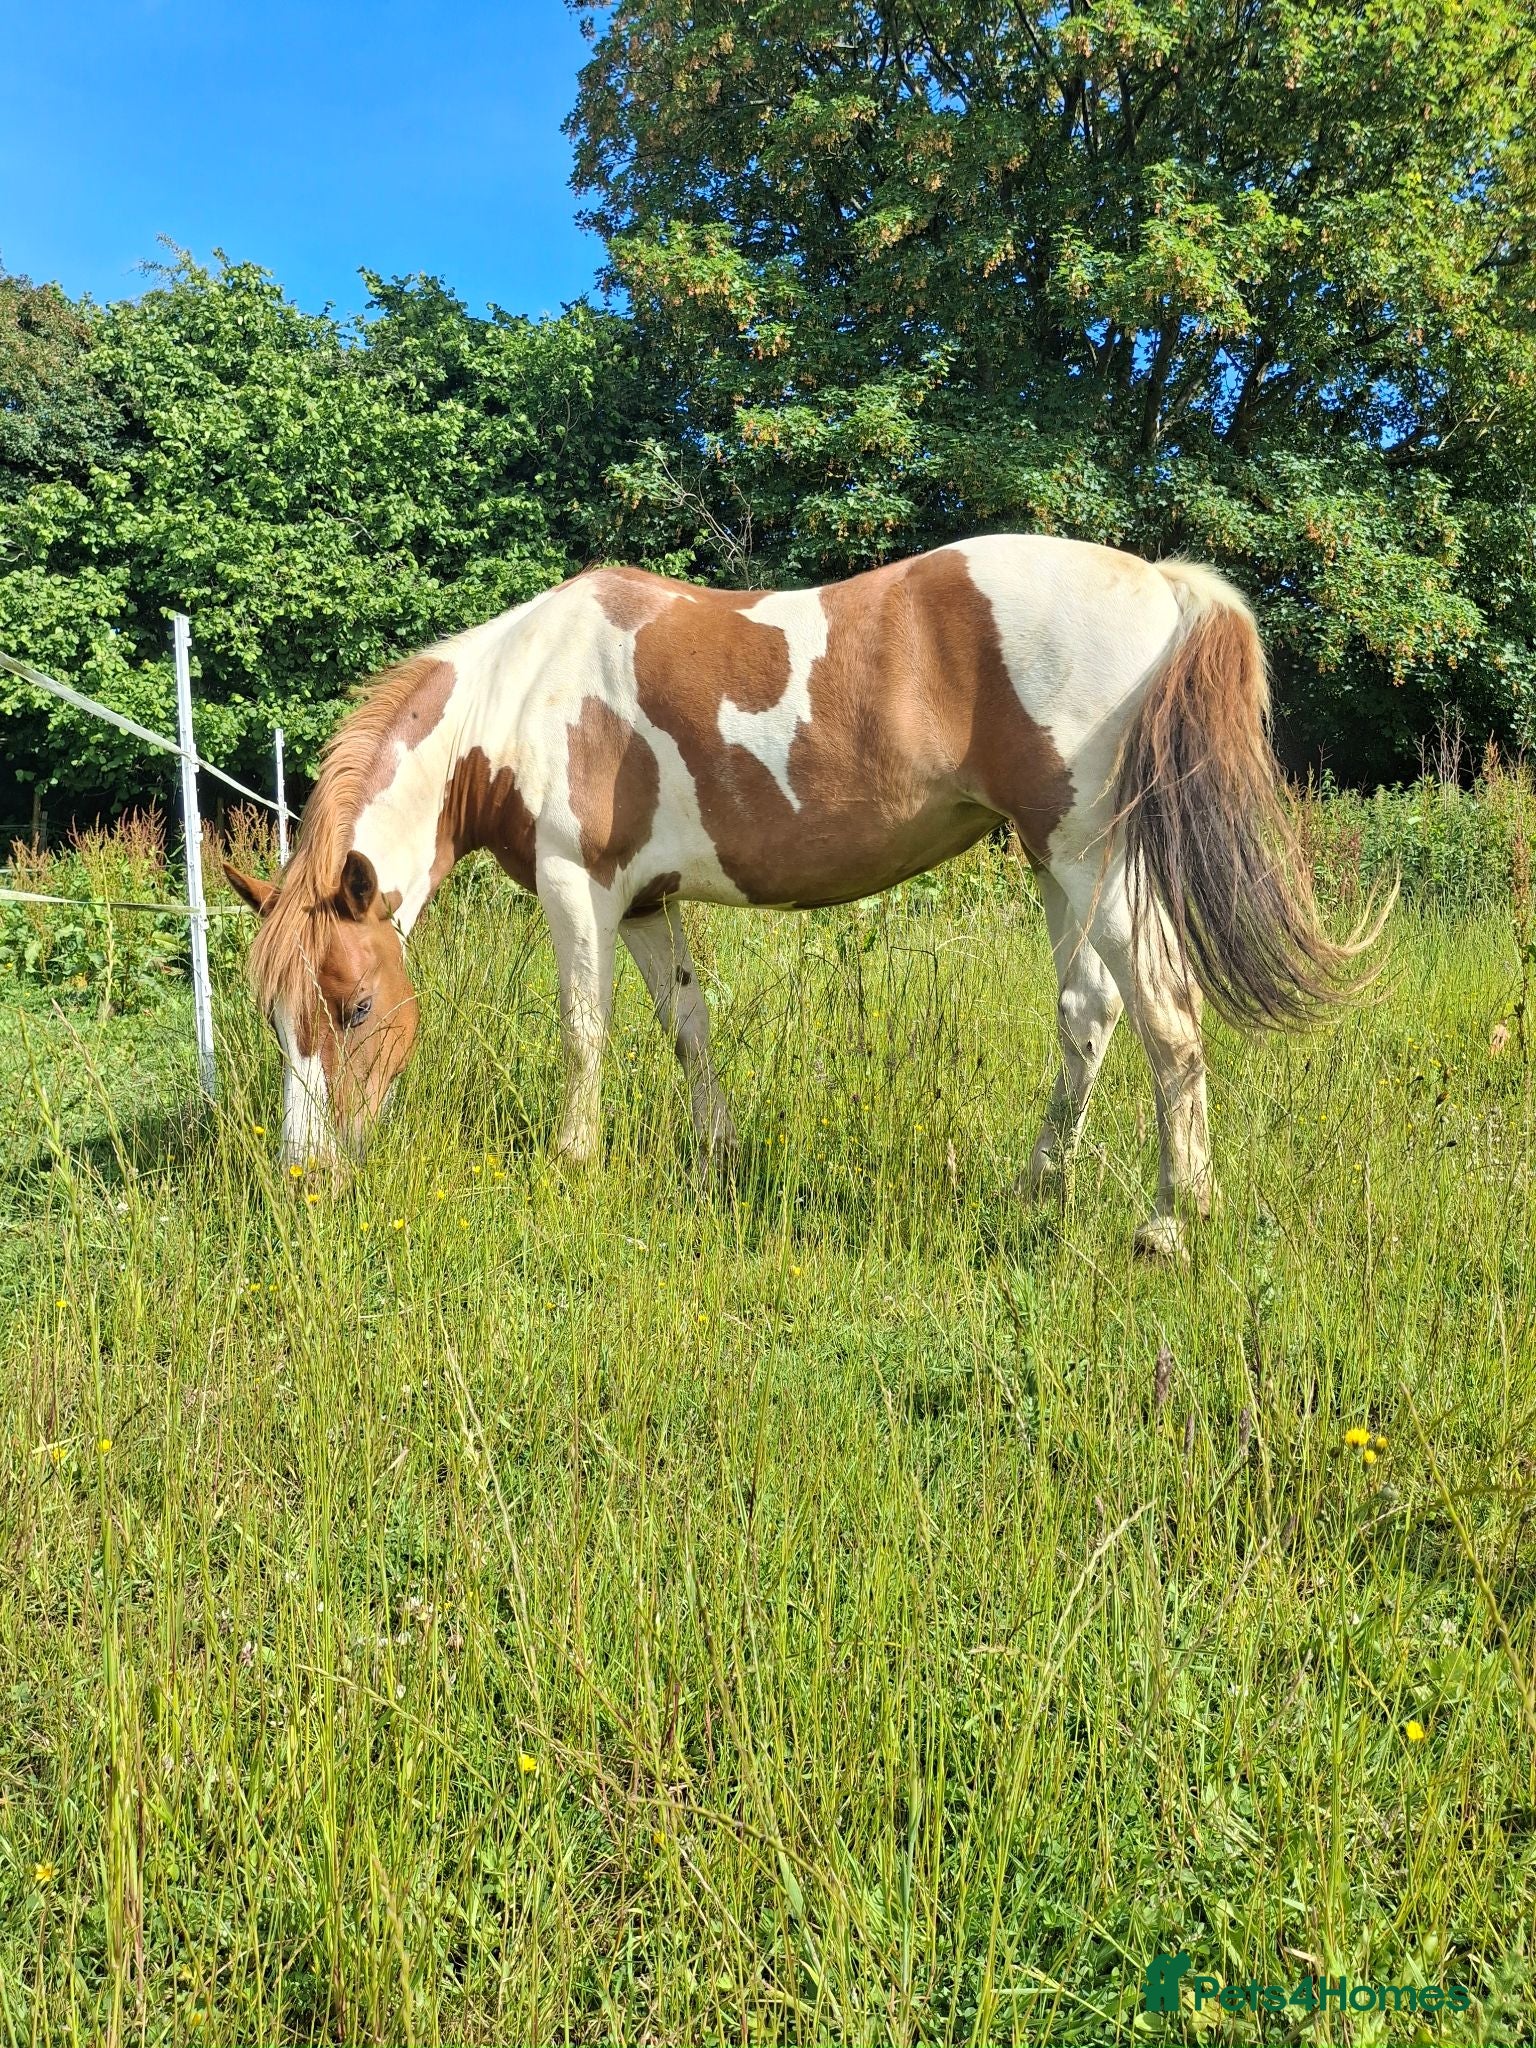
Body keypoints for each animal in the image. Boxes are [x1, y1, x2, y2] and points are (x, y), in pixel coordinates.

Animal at [224, 534, 1373, 1254]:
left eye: (355, 1007)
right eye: (274, 1018)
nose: (306, 1179)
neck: (517, 698)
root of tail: (1163, 585)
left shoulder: (575, 887)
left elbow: (585, 1027)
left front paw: (573, 1161)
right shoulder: (647, 904)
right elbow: (686, 1025)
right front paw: (718, 1155)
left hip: (1095, 855)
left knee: (1166, 1017)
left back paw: (1177, 1219)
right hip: (1058, 865)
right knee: (1088, 1014)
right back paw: (1039, 1186)